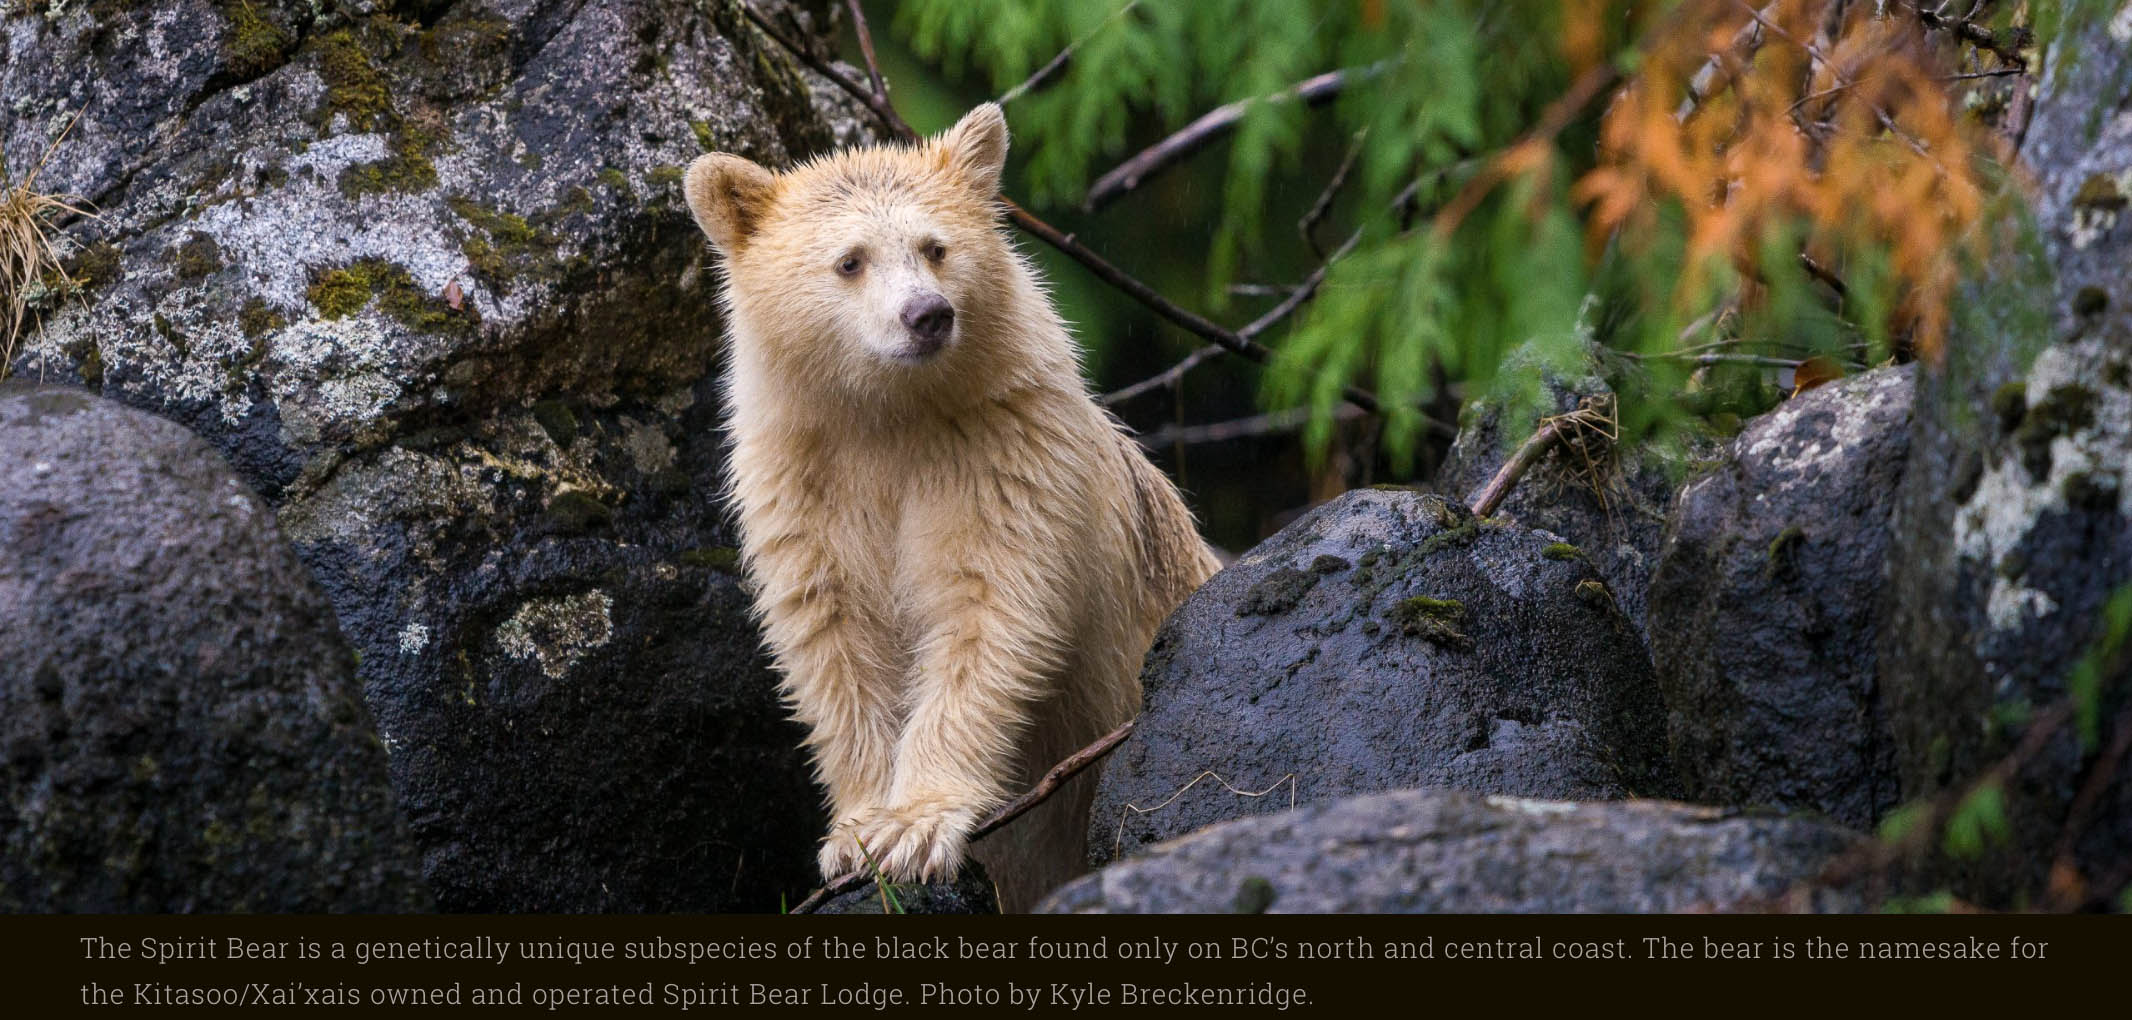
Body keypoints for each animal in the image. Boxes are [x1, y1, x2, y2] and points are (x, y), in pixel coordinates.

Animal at [682, 107, 1219, 913]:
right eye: (850, 261)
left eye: (936, 247)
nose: (926, 315)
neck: (891, 417)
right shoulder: (803, 481)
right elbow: (833, 634)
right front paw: (856, 832)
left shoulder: (1004, 452)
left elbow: (987, 609)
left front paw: (916, 827)